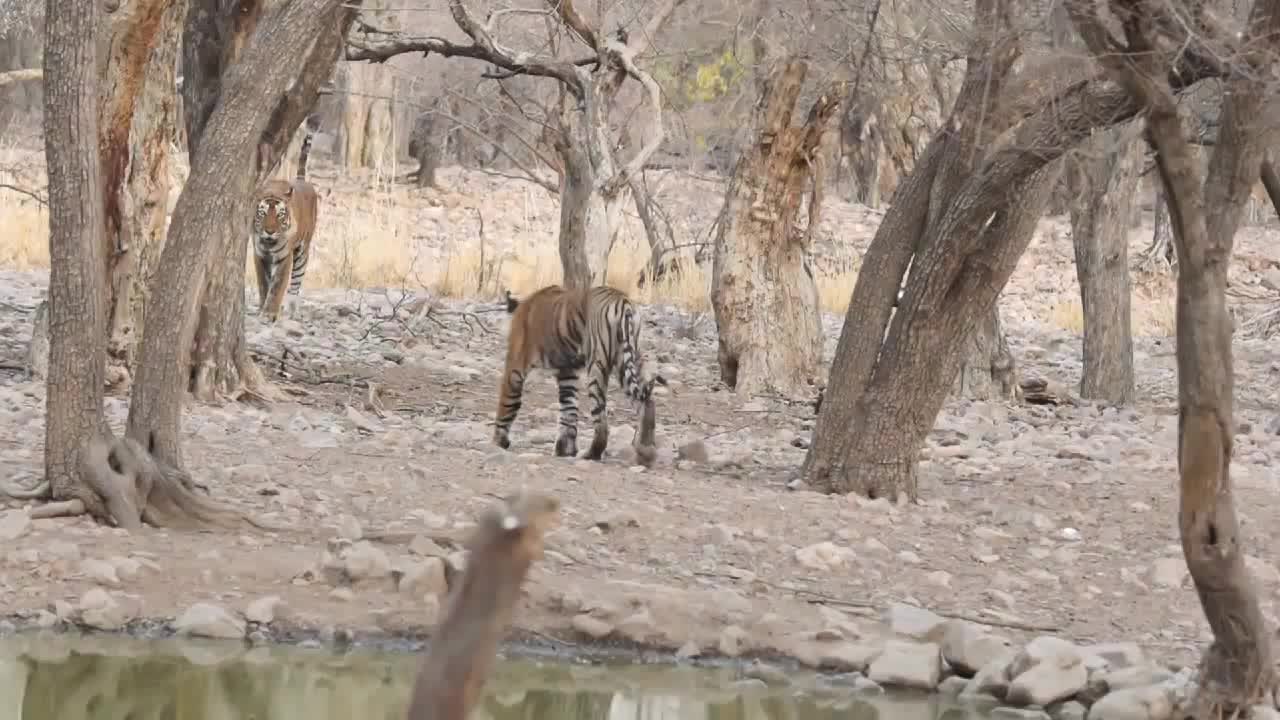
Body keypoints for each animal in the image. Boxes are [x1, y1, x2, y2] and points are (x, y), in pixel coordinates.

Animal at [250, 125, 318, 322]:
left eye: (280, 215)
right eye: (263, 213)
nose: (270, 231)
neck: (269, 243)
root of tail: (303, 181)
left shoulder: (284, 257)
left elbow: (278, 286)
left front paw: (270, 313)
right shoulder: (259, 255)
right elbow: (264, 284)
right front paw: (262, 308)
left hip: (303, 251)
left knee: (295, 283)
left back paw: (292, 310)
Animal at [491, 283, 665, 456]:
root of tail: (623, 301)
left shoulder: (515, 368)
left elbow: (507, 403)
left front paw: (498, 441)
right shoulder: (568, 371)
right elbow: (568, 409)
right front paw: (565, 449)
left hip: (597, 364)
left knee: (602, 422)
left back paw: (590, 454)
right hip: (628, 360)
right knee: (647, 403)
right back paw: (645, 450)